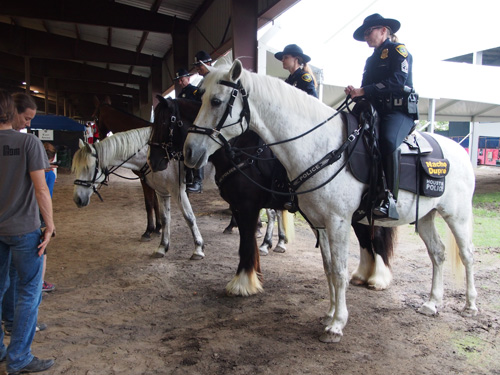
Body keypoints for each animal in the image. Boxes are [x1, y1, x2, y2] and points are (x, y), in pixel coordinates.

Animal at [73, 126, 215, 262]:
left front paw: (198, 249)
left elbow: (189, 217)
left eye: (88, 167)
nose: (77, 199)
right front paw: (162, 247)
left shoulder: (178, 191)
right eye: (75, 168)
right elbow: (165, 218)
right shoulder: (162, 192)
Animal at [91, 95, 159, 241]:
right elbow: (155, 202)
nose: (98, 139)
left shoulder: (145, 178)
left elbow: (149, 203)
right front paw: (158, 228)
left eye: (94, 118)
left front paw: (148, 230)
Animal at [148, 98, 394, 298]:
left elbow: (246, 242)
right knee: (366, 238)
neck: (241, 152)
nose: (154, 161)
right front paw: (255, 274)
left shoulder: (246, 206)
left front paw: (242, 283)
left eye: (165, 122)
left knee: (374, 236)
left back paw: (378, 278)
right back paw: (364, 275)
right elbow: (249, 240)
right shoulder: (240, 206)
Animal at [183, 61, 476, 344]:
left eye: (216, 101)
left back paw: (470, 306)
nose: (189, 151)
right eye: (200, 97)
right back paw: (432, 303)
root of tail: (460, 151)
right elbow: (328, 270)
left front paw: (337, 325)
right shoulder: (320, 224)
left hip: (457, 216)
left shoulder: (336, 222)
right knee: (437, 252)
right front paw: (330, 314)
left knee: (466, 254)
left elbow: (339, 270)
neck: (320, 148)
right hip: (426, 216)